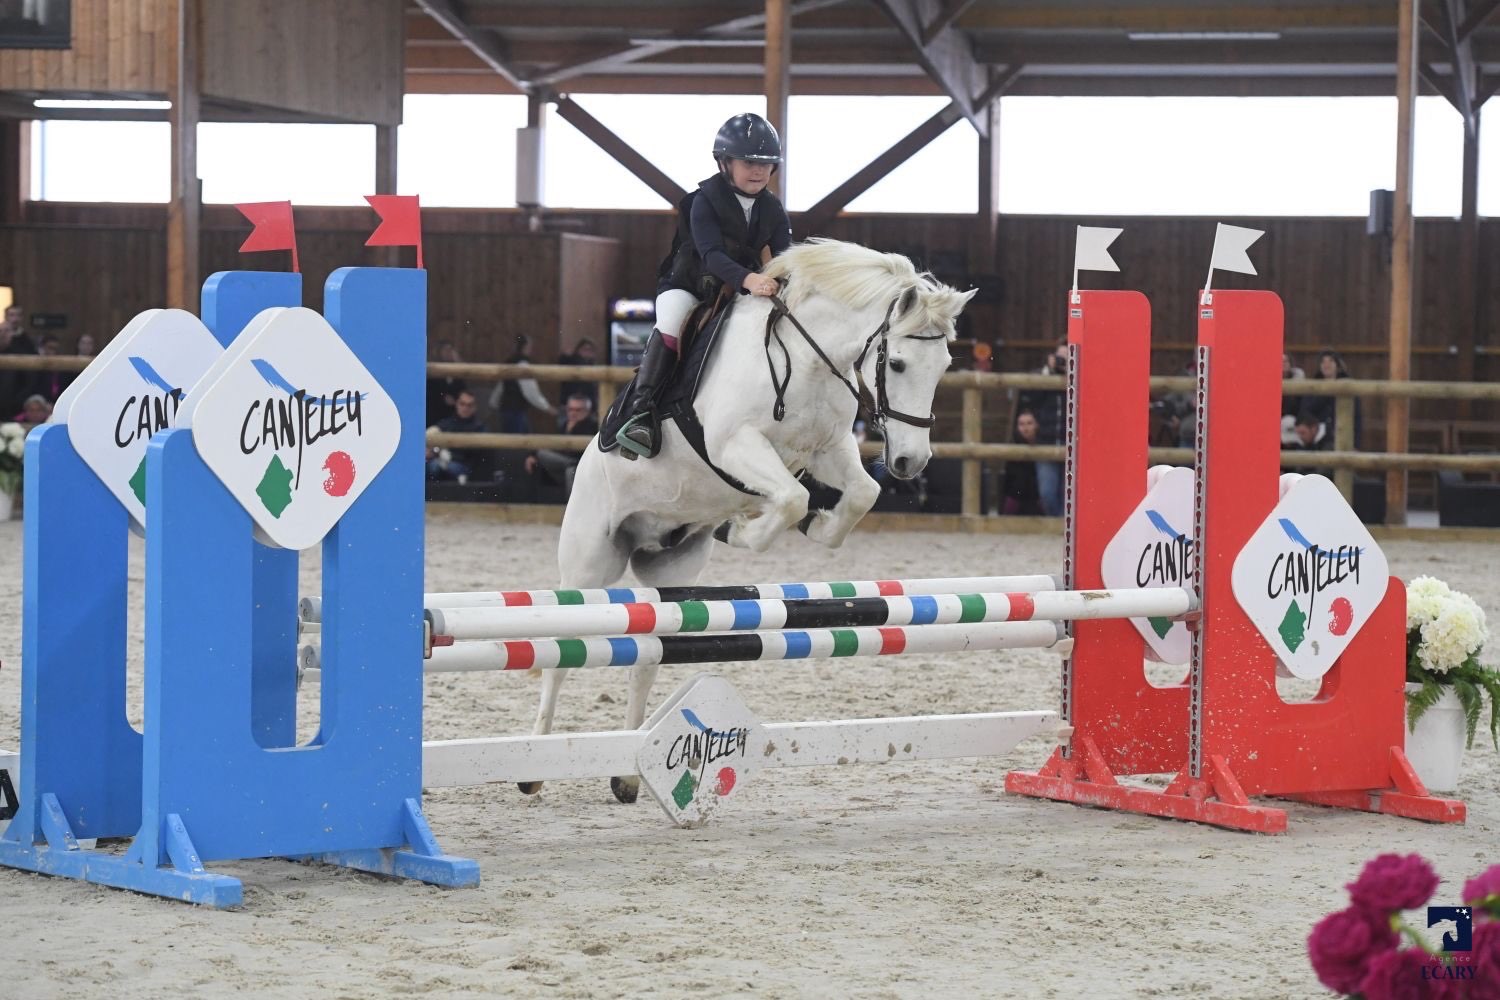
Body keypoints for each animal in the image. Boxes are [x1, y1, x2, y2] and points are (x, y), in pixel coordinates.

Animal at [522, 238, 978, 803]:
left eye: (944, 365)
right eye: (895, 363)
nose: (911, 463)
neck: (807, 358)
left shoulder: (827, 449)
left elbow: (858, 495)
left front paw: (814, 527)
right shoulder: (736, 445)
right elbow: (793, 498)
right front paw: (745, 528)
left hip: (670, 573)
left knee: (647, 655)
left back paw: (626, 774)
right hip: (590, 564)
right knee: (563, 652)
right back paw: (533, 766)